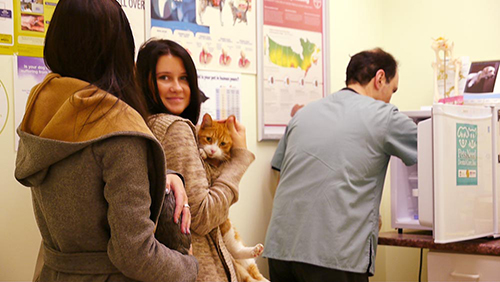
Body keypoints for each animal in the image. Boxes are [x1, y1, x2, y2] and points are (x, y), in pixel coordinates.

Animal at [198, 113, 270, 282]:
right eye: (209, 139)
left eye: (223, 143)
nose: (212, 150)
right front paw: (203, 152)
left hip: (229, 233)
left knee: (239, 251)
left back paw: (254, 250)